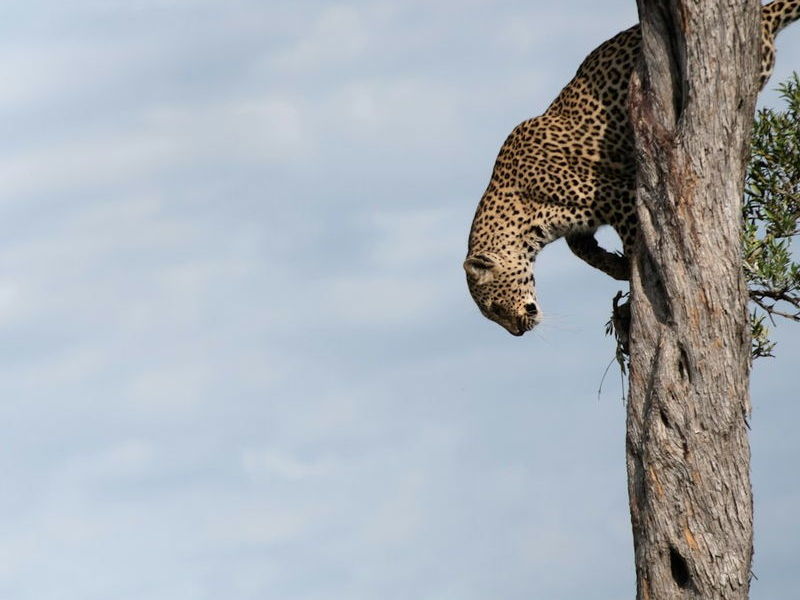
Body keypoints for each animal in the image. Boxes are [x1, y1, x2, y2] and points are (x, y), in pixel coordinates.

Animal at [464, 0, 800, 336]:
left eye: (494, 308)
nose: (518, 332)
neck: (522, 215)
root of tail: (765, 17)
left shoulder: (619, 194)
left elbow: (631, 238)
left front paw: (633, 275)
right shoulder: (579, 223)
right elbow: (580, 248)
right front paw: (614, 267)